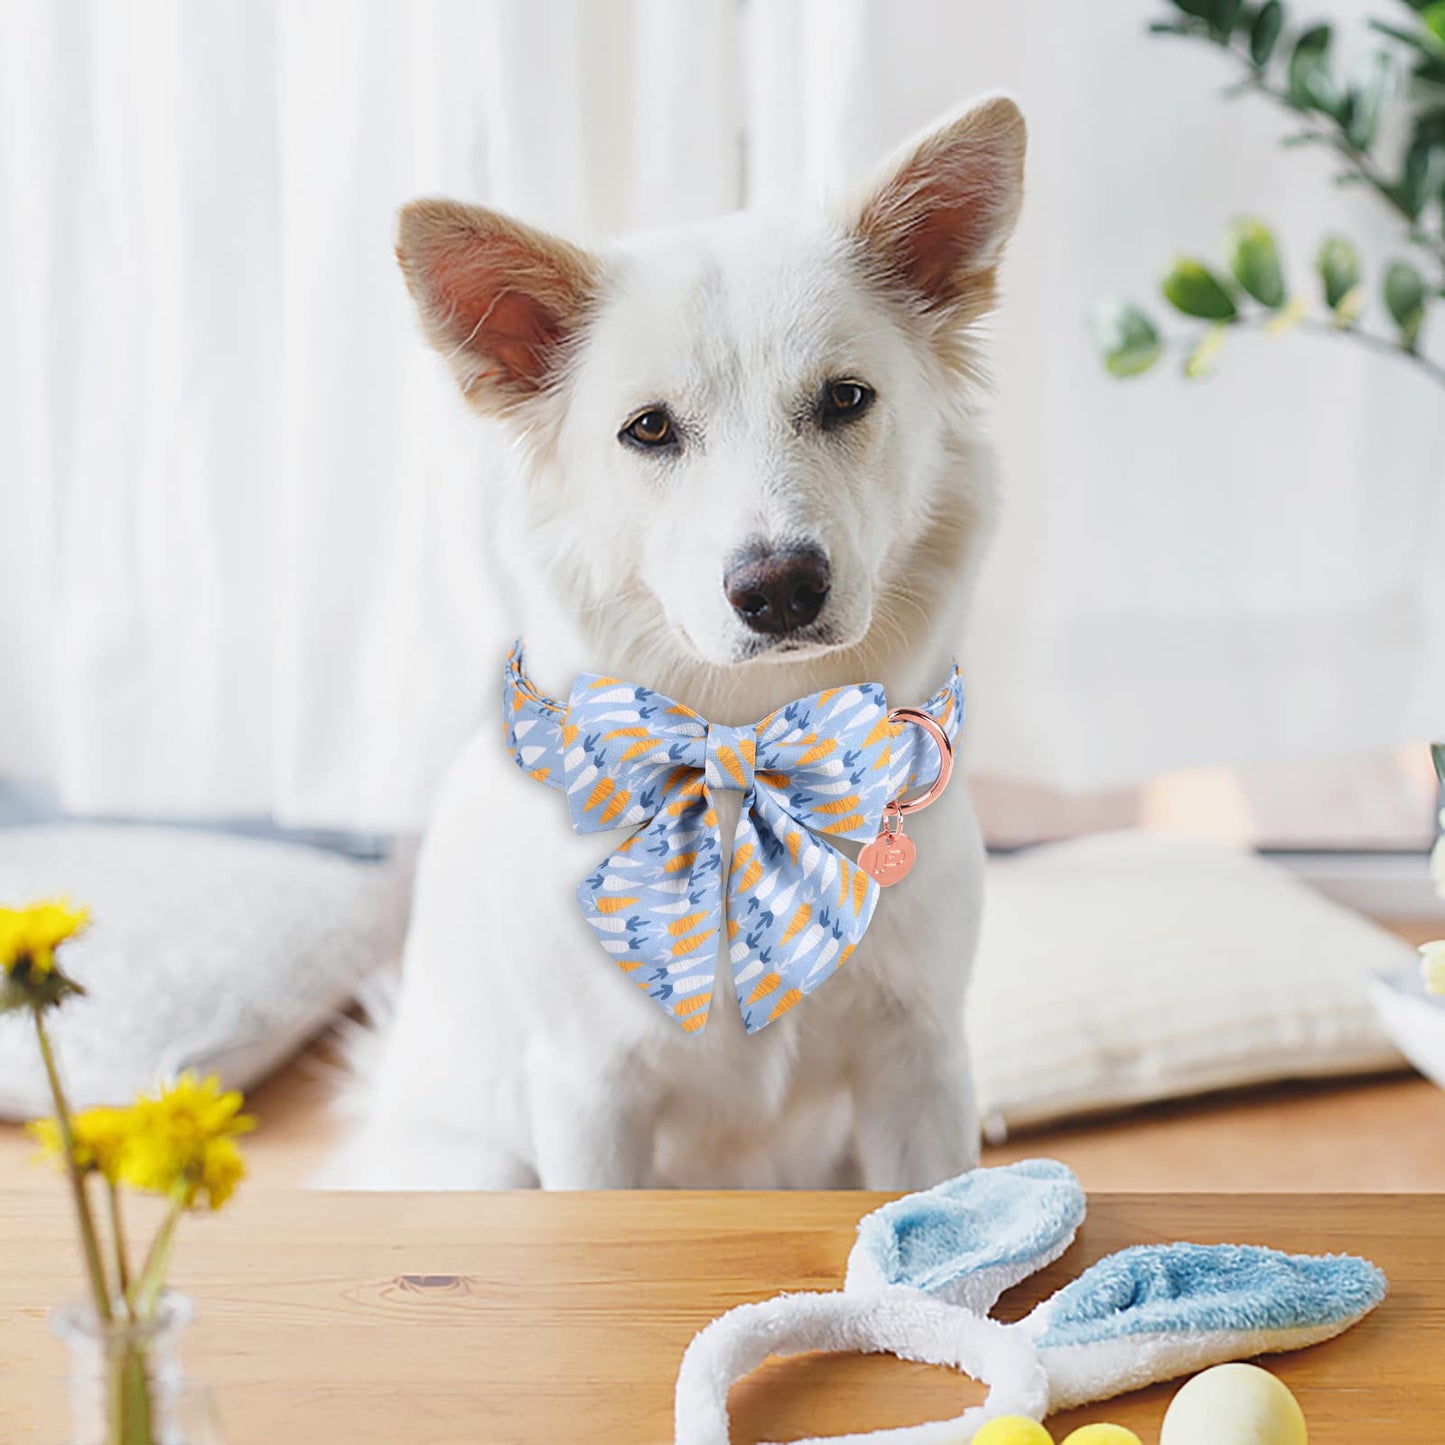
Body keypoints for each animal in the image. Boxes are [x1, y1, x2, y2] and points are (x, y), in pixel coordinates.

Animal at [332, 96, 1023, 1190]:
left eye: (844, 398)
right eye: (650, 429)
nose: (778, 587)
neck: (746, 757)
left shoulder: (919, 1064)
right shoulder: (587, 1095)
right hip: (482, 1165)